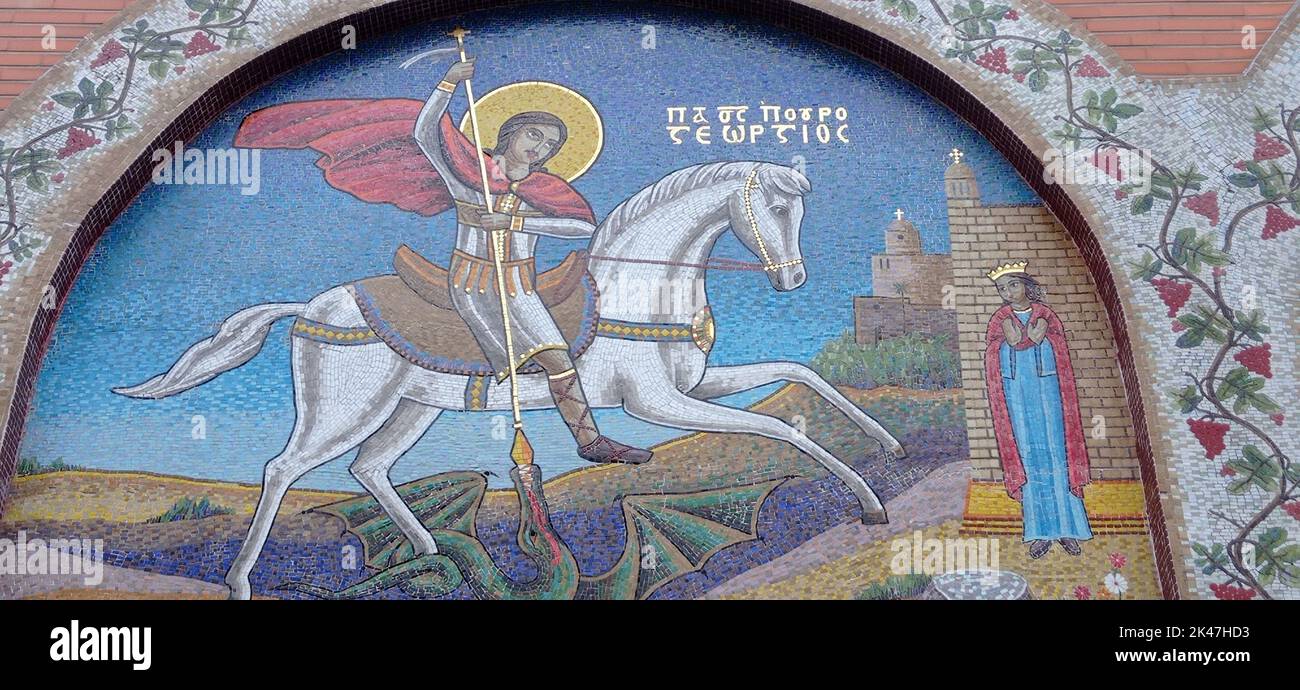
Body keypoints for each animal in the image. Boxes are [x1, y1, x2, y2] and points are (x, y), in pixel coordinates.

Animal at [114, 163, 904, 600]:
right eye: (777, 207)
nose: (792, 278)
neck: (640, 287)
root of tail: (310, 308)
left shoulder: (697, 386)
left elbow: (798, 373)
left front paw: (888, 448)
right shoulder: (659, 404)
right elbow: (776, 425)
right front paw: (868, 503)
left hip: (411, 409)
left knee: (369, 468)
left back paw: (434, 553)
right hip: (344, 407)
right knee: (283, 469)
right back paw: (240, 580)